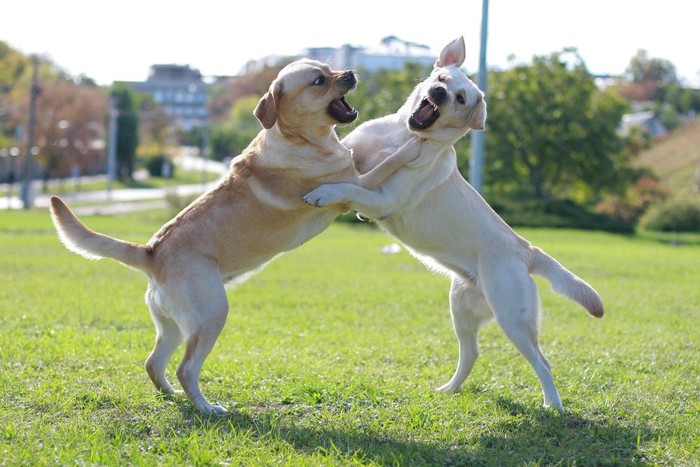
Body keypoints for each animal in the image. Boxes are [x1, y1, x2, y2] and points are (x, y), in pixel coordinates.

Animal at [304, 36, 604, 412]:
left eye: (461, 98)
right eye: (442, 79)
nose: (439, 92)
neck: (400, 137)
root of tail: (525, 249)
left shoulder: (384, 199)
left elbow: (350, 187)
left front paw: (324, 192)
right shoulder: (354, 153)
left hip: (513, 318)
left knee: (542, 362)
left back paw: (554, 405)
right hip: (461, 308)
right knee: (471, 353)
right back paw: (449, 389)